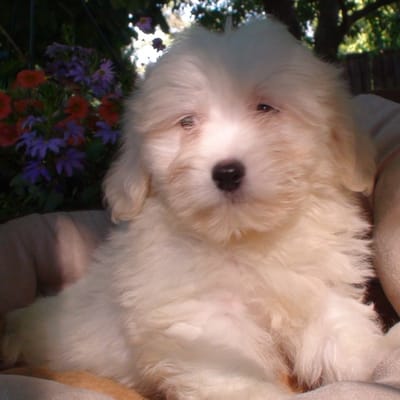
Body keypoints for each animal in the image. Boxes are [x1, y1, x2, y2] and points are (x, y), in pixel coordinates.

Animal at [3, 18, 399, 399]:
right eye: (187, 122)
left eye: (265, 108)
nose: (226, 173)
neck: (243, 238)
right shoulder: (201, 316)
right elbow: (229, 368)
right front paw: (254, 393)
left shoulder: (317, 287)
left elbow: (340, 330)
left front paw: (377, 358)